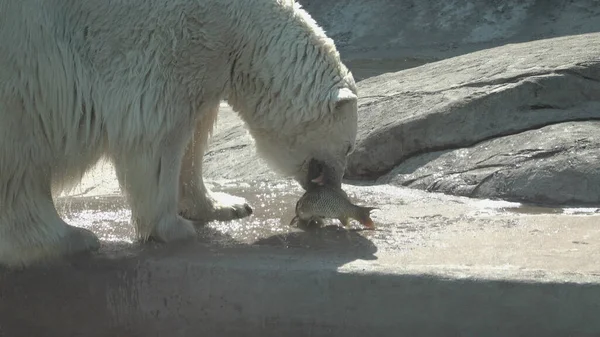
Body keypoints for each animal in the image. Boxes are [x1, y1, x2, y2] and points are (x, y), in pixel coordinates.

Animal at [0, 0, 356, 268]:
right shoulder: (168, 41)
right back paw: (68, 239)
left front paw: (226, 205)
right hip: (27, 59)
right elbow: (158, 135)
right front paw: (173, 228)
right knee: (21, 157)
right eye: (350, 147)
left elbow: (194, 135)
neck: (237, 23)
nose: (336, 186)